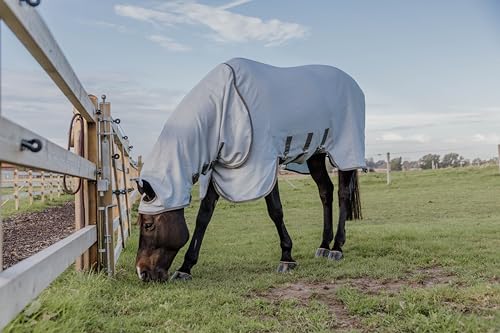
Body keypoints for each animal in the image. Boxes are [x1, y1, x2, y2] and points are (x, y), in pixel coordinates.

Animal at [135, 57, 366, 280]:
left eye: (148, 225)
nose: (142, 273)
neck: (225, 106)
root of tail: (353, 84)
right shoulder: (220, 168)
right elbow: (203, 216)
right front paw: (185, 268)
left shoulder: (264, 165)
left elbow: (275, 211)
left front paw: (287, 257)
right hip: (317, 154)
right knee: (325, 191)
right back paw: (324, 246)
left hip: (345, 151)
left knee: (343, 193)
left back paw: (337, 248)